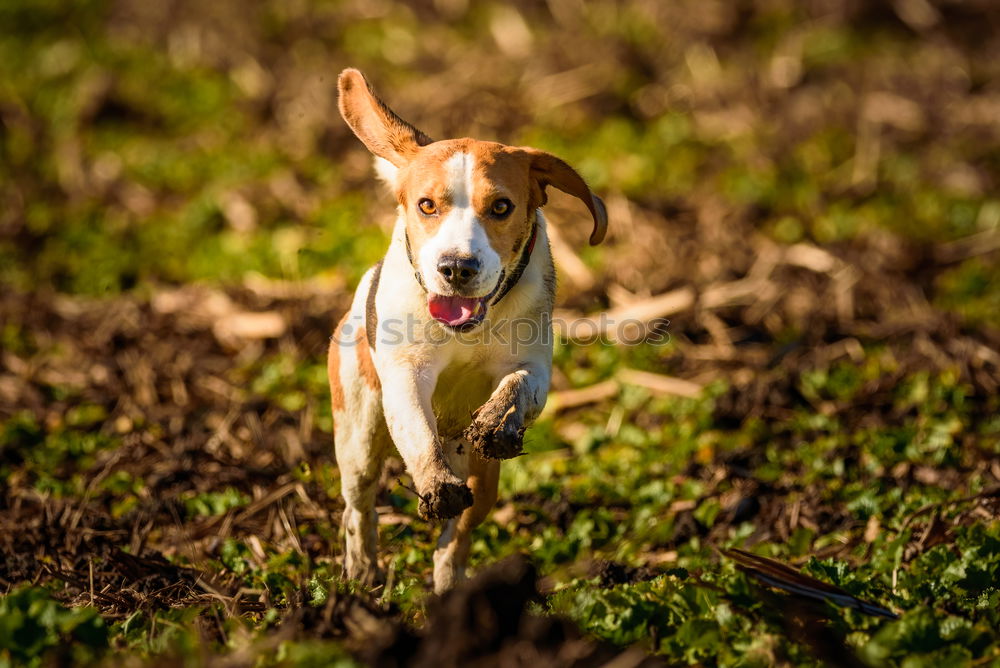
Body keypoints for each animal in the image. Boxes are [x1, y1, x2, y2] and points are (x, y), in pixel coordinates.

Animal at [328, 68, 608, 592]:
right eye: (426, 205)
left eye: (500, 207)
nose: (457, 267)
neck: (467, 330)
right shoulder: (406, 376)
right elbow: (417, 431)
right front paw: (435, 482)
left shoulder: (534, 367)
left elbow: (519, 385)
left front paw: (498, 418)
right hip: (357, 435)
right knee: (359, 505)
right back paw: (361, 570)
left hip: (482, 479)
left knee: (458, 532)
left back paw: (449, 586)